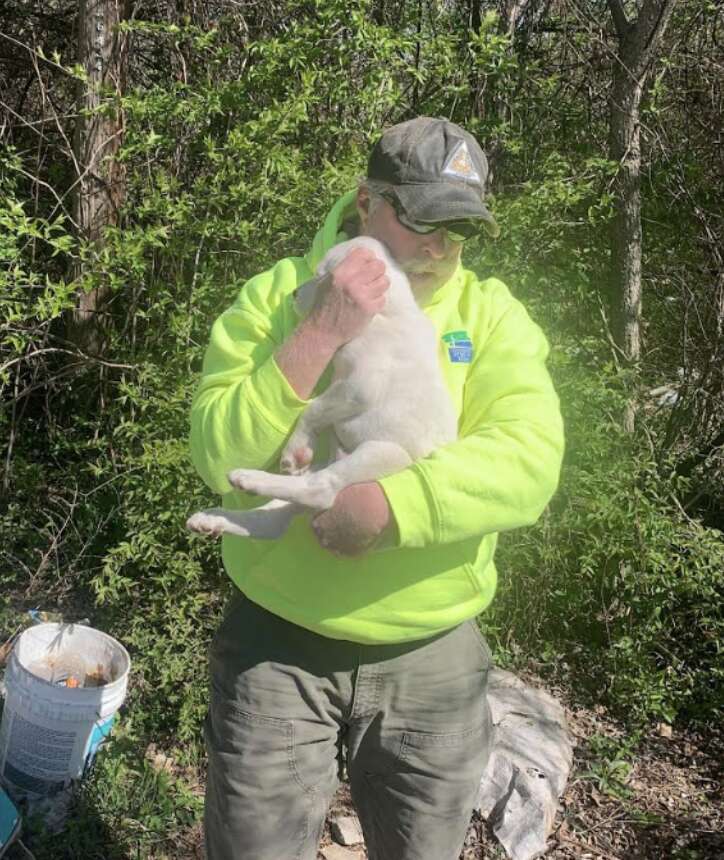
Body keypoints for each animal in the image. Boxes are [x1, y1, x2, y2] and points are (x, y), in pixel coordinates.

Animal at [188, 237, 458, 536]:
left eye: (320, 276)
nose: (293, 294)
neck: (390, 312)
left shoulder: (360, 386)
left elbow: (313, 408)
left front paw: (296, 447)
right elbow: (317, 407)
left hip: (383, 453)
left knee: (319, 488)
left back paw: (250, 478)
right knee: (269, 522)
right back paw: (212, 517)